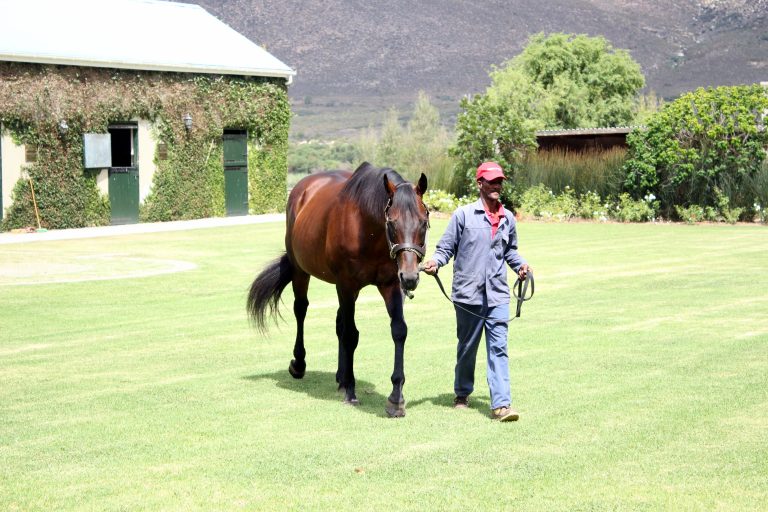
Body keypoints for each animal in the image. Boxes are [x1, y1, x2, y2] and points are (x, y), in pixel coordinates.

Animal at [247, 162, 429, 417]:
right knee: (301, 310)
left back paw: (340, 377)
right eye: (391, 223)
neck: (367, 229)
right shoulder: (346, 285)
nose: (411, 277)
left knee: (339, 323)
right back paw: (300, 364)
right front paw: (351, 391)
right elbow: (351, 334)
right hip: (301, 271)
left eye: (423, 221)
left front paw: (396, 398)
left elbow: (398, 331)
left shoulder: (390, 285)